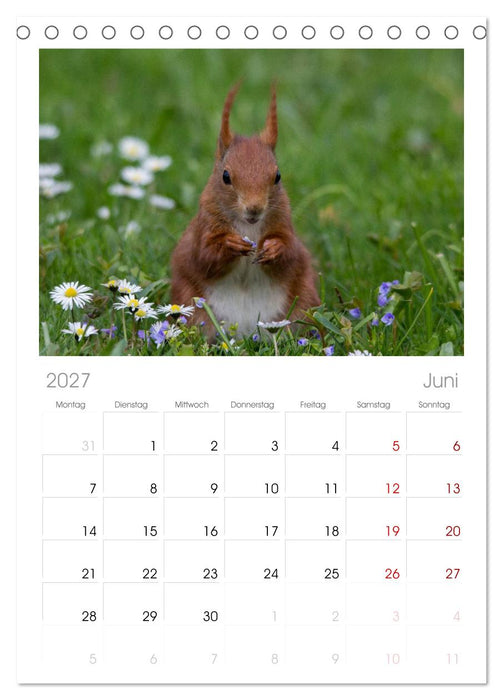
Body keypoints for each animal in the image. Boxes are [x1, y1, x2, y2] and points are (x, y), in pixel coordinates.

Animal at [170, 83, 320, 337]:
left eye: (277, 176)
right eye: (225, 176)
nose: (254, 209)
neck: (248, 227)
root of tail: (247, 332)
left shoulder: (283, 223)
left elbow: (290, 252)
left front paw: (273, 249)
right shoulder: (204, 227)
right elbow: (204, 255)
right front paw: (231, 245)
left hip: (304, 301)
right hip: (189, 304)